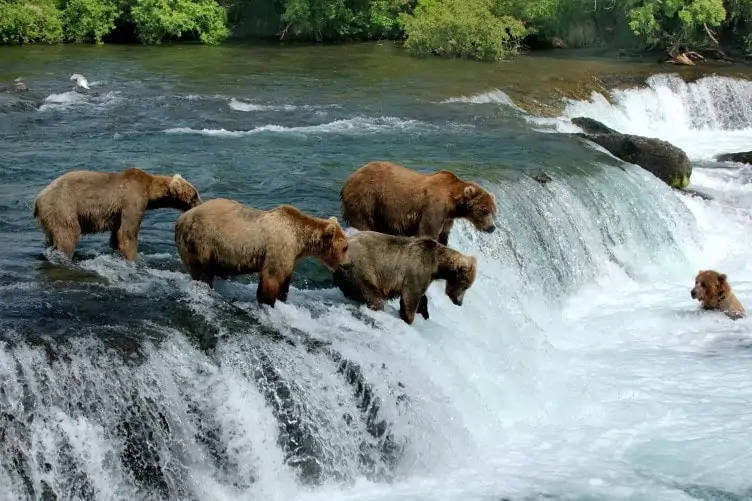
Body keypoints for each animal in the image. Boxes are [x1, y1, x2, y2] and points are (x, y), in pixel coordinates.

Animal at [33, 168, 201, 262]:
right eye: (195, 195)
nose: (200, 203)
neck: (149, 190)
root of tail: (38, 199)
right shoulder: (132, 200)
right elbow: (127, 233)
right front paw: (134, 258)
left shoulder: (118, 213)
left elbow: (116, 234)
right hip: (62, 207)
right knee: (68, 234)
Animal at [175, 197, 352, 306]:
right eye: (345, 247)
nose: (348, 264)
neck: (299, 239)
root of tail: (181, 219)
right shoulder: (278, 248)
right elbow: (272, 278)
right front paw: (267, 301)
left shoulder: (290, 255)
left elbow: (285, 279)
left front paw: (282, 298)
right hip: (201, 240)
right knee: (201, 270)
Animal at [334, 229, 478, 324]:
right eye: (465, 285)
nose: (459, 302)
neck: (437, 265)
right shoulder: (417, 270)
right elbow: (411, 297)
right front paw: (409, 317)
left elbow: (421, 296)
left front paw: (424, 312)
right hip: (362, 269)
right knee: (372, 296)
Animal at [340, 161, 500, 245]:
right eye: (484, 211)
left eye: (493, 211)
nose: (492, 227)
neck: (452, 204)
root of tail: (349, 179)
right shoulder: (434, 209)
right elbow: (427, 232)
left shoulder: (447, 219)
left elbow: (443, 235)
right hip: (367, 197)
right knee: (362, 220)